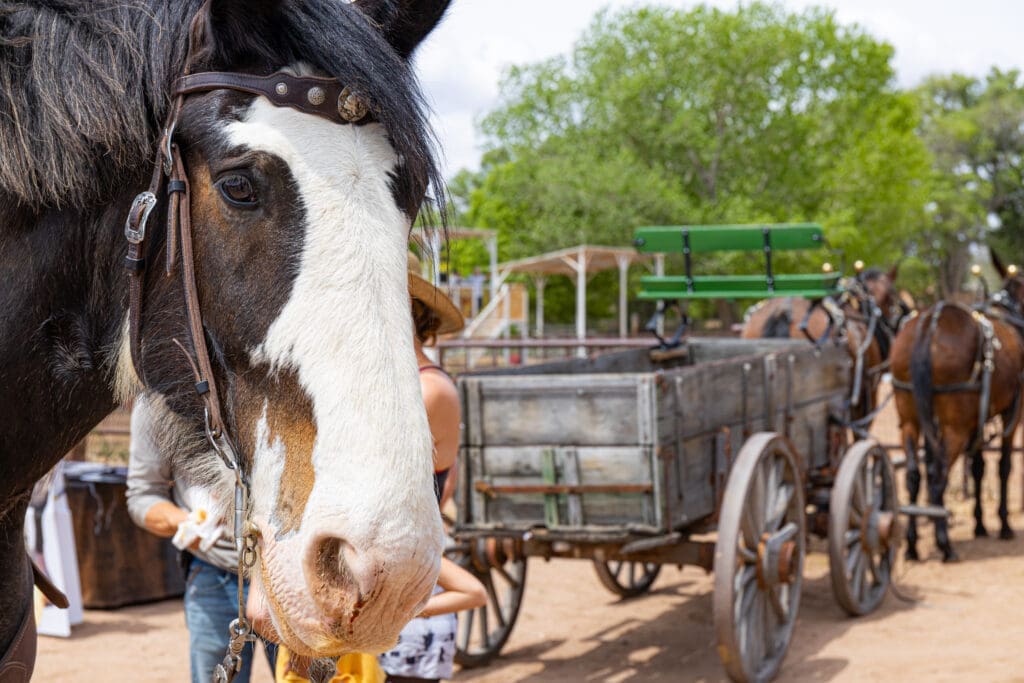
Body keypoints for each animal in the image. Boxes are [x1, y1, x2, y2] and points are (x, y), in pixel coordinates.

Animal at [891, 252, 1024, 562]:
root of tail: (929, 324)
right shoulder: (1012, 414)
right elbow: (1003, 466)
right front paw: (1003, 524)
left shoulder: (977, 420)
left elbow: (977, 467)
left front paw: (979, 524)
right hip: (955, 428)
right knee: (938, 474)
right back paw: (945, 544)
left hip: (911, 419)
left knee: (915, 475)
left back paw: (913, 545)